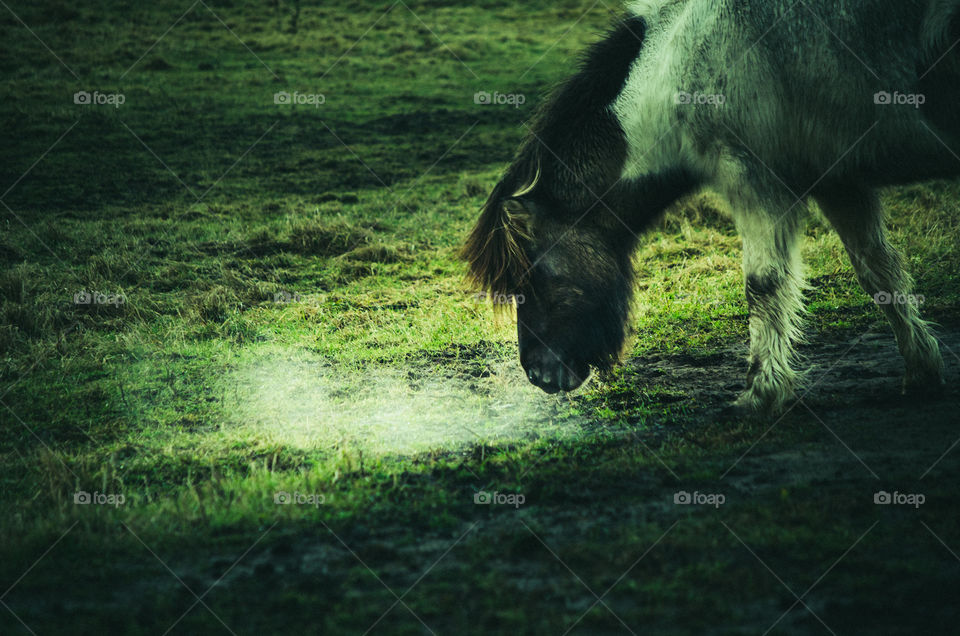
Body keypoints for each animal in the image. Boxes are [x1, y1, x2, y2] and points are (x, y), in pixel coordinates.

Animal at [464, 0, 960, 412]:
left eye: (534, 273)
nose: (537, 373)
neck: (678, 63)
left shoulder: (755, 179)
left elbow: (763, 285)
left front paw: (761, 392)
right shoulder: (839, 179)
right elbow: (879, 271)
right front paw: (922, 370)